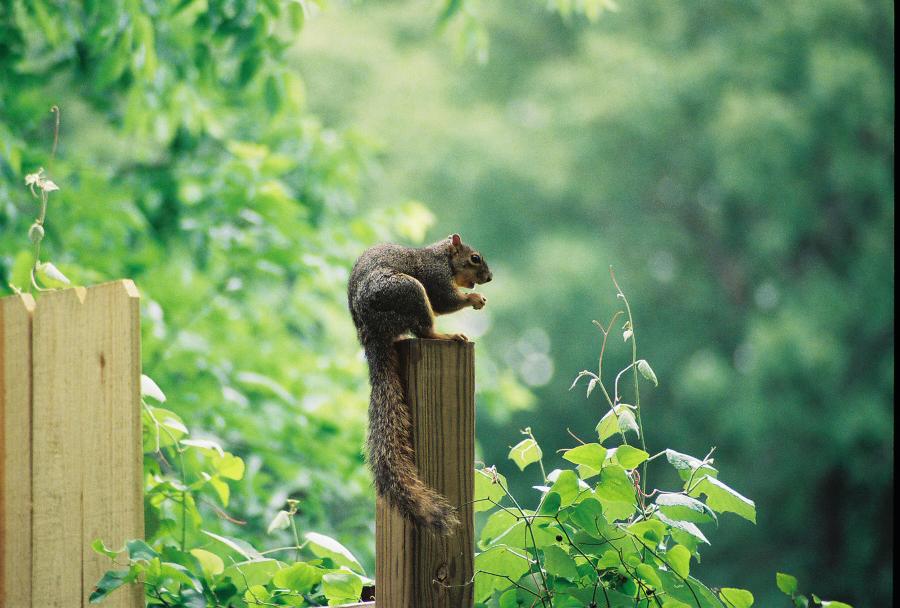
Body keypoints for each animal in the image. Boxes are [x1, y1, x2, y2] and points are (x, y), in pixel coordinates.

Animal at [347, 233, 492, 533]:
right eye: (475, 258)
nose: (489, 277)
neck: (442, 257)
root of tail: (371, 334)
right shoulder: (434, 278)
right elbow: (445, 301)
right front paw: (474, 298)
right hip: (409, 293)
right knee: (424, 330)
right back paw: (446, 335)